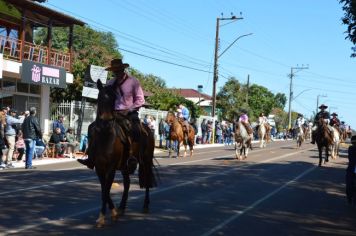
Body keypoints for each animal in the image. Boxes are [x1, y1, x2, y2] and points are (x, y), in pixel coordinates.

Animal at [90, 80, 156, 228]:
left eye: (114, 99)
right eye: (100, 98)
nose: (106, 122)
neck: (105, 137)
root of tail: (148, 129)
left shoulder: (111, 168)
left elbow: (106, 190)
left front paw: (103, 217)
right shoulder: (99, 168)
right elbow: (104, 190)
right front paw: (112, 213)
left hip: (146, 160)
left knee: (147, 181)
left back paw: (145, 205)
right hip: (125, 167)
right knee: (127, 183)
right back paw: (121, 207)